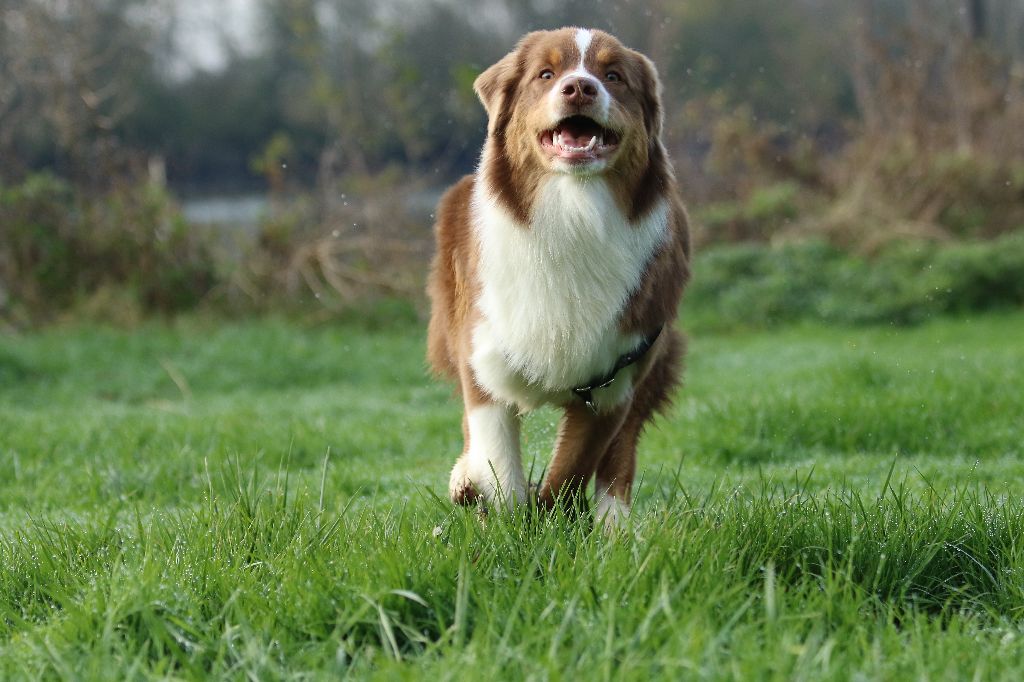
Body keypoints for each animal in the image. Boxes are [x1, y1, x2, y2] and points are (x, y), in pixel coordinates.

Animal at [426, 27, 690, 526]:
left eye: (613, 76)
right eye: (546, 74)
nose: (580, 87)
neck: (572, 213)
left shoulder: (615, 379)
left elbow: (573, 469)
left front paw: (552, 520)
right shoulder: (484, 358)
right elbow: (498, 465)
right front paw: (508, 523)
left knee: (620, 458)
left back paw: (614, 527)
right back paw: (463, 479)